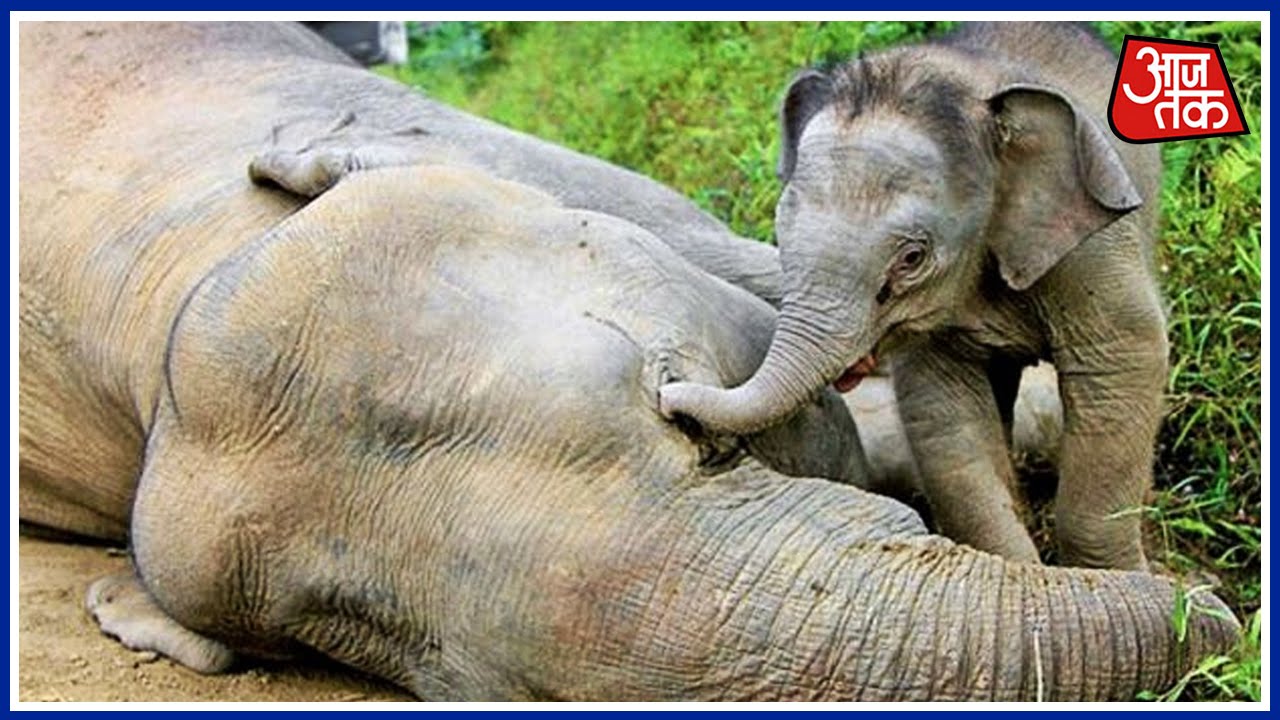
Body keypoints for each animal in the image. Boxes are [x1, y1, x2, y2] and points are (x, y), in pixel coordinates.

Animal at [660, 22, 1167, 571]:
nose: (667, 400)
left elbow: (1123, 362)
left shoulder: (1093, 245)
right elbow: (943, 411)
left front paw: (1129, 578)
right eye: (780, 232)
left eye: (912, 258)